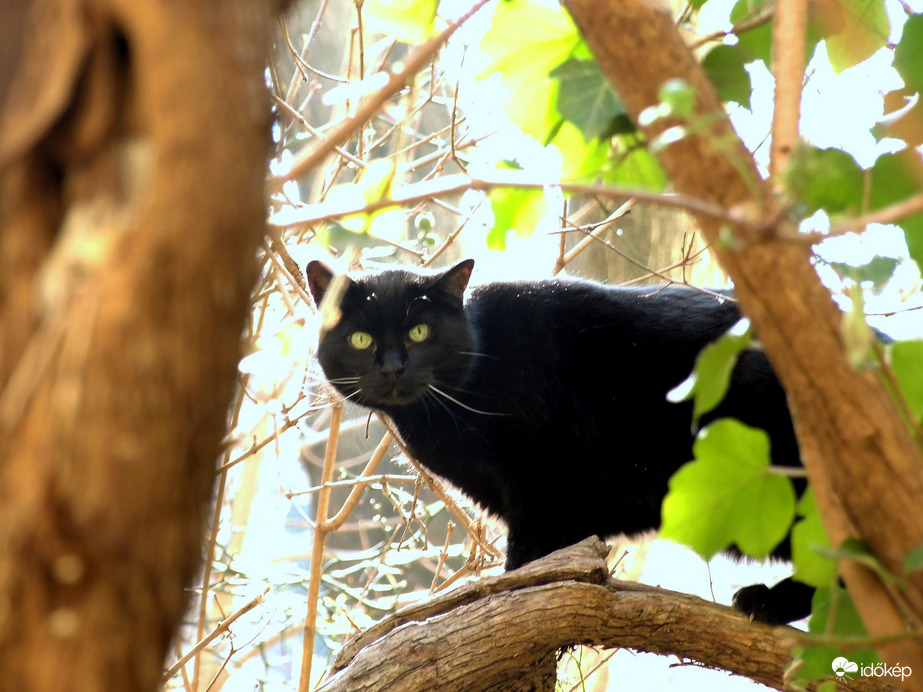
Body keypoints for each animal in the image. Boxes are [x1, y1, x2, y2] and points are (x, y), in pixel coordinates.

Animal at [306, 260, 812, 628]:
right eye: (360, 339)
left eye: (420, 332)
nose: (392, 367)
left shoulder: (542, 482)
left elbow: (528, 560)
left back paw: (770, 602)